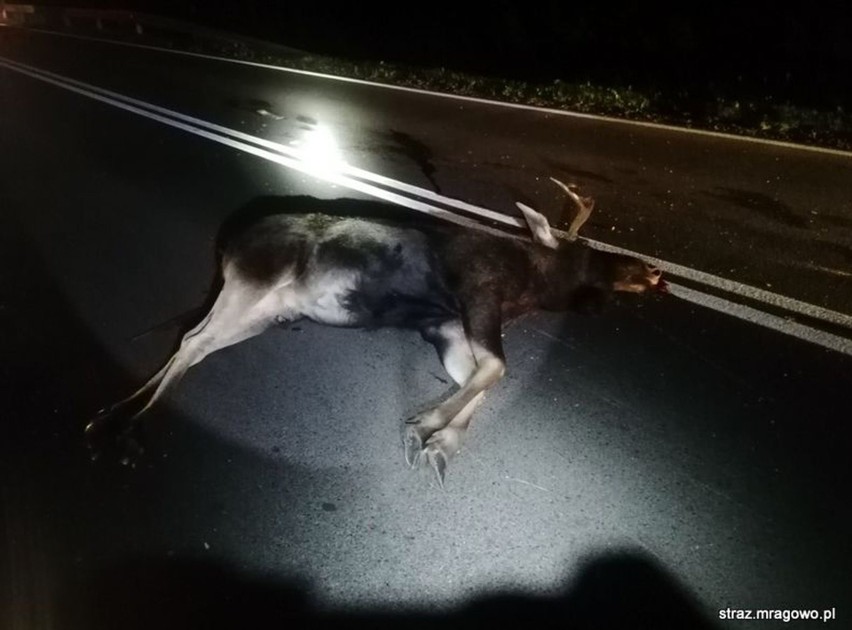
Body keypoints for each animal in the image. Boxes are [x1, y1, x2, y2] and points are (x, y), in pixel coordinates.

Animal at [88, 180, 664, 486]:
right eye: (585, 253)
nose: (652, 271)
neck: (529, 286)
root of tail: (226, 244)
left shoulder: (445, 327)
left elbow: (480, 379)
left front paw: (440, 444)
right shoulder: (478, 299)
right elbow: (497, 369)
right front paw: (426, 426)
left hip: (258, 308)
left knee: (193, 339)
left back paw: (112, 413)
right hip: (253, 289)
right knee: (194, 343)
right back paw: (127, 423)